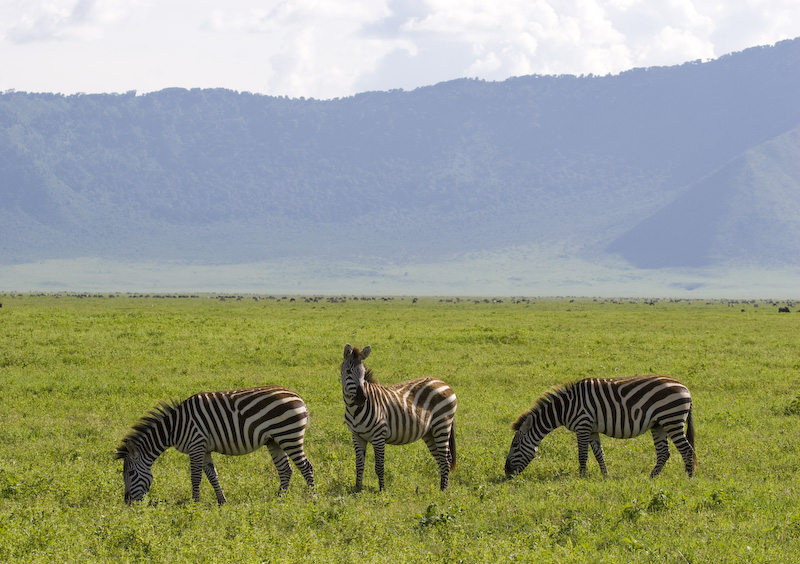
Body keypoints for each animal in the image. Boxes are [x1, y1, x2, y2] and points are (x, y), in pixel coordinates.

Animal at [115, 386, 316, 504]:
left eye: (130, 473)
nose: (127, 502)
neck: (174, 427)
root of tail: (298, 397)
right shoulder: (204, 449)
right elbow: (213, 476)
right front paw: (221, 501)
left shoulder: (195, 445)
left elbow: (196, 477)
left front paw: (194, 504)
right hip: (274, 441)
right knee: (285, 470)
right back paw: (280, 499)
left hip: (289, 435)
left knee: (306, 467)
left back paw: (313, 499)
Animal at [340, 344, 460, 490]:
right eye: (348, 371)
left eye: (363, 374)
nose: (362, 398)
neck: (354, 410)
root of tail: (443, 383)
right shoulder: (357, 436)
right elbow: (359, 465)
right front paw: (357, 489)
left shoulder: (379, 436)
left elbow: (379, 466)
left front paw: (382, 490)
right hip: (430, 433)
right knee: (442, 459)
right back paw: (441, 488)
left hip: (442, 425)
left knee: (445, 460)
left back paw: (443, 491)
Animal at [506, 376, 692, 478]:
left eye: (515, 445)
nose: (506, 471)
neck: (565, 407)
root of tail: (685, 388)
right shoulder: (592, 429)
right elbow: (599, 454)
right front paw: (605, 476)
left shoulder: (582, 425)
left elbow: (582, 455)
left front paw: (581, 477)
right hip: (659, 425)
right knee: (664, 453)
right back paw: (651, 478)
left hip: (672, 420)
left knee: (686, 450)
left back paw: (689, 478)